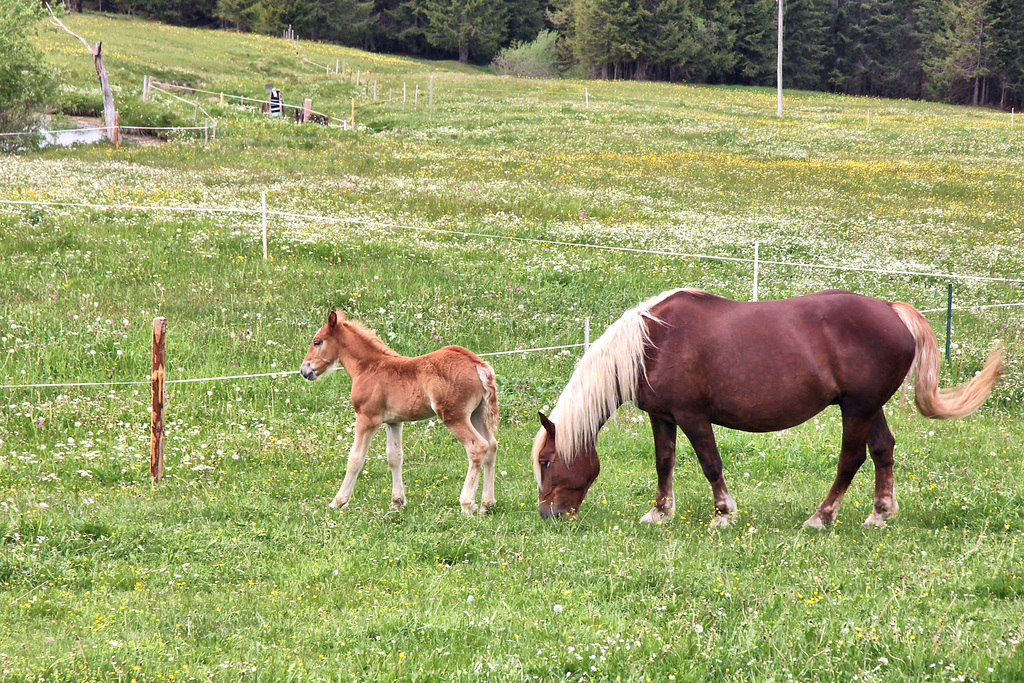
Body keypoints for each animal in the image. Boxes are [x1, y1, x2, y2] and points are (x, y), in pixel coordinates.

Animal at [299, 313, 499, 516]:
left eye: (317, 342)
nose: (304, 370)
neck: (368, 367)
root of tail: (477, 364)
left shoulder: (367, 418)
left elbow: (355, 458)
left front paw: (338, 502)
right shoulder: (394, 422)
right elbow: (394, 457)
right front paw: (397, 502)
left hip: (454, 416)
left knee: (478, 447)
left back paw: (467, 504)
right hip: (477, 414)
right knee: (491, 446)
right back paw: (487, 504)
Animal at [532, 288, 1003, 528]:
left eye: (547, 460)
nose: (548, 514)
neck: (652, 343)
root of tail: (892, 310)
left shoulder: (692, 416)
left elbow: (711, 464)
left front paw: (724, 515)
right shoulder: (662, 416)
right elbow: (664, 462)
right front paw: (659, 512)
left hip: (856, 409)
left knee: (851, 459)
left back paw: (821, 517)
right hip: (869, 408)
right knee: (883, 450)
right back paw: (879, 513)